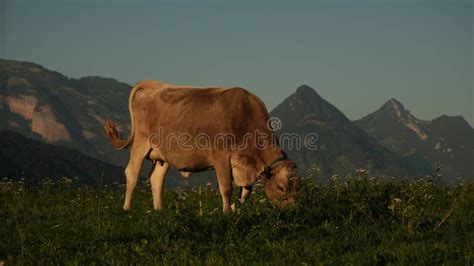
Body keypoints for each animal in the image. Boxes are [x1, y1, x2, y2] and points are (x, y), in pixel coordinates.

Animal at [103, 80, 300, 213]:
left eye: (297, 187)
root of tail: (155, 85)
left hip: (162, 155)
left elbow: (246, 191)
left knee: (156, 179)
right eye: (281, 188)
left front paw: (236, 206)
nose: (293, 210)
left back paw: (159, 209)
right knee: (132, 174)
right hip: (140, 143)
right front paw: (227, 212)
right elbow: (226, 187)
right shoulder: (221, 157)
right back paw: (127, 209)